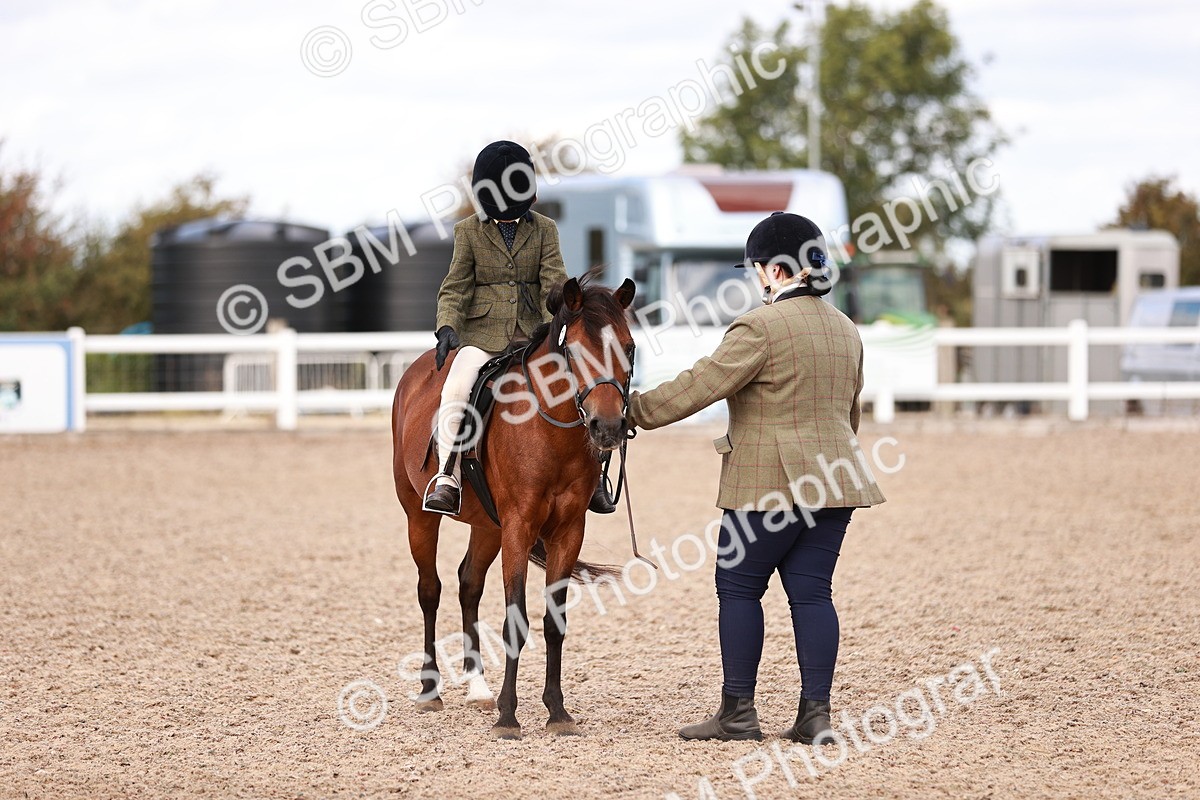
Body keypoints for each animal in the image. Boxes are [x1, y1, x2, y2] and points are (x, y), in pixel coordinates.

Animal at [391, 271, 636, 739]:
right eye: (574, 351)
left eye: (629, 348)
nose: (609, 427)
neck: (551, 431)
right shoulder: (520, 526)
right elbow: (515, 619)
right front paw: (509, 715)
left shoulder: (567, 531)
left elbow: (554, 622)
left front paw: (557, 711)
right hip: (418, 516)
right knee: (430, 590)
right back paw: (431, 690)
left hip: (488, 526)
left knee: (468, 584)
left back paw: (478, 688)